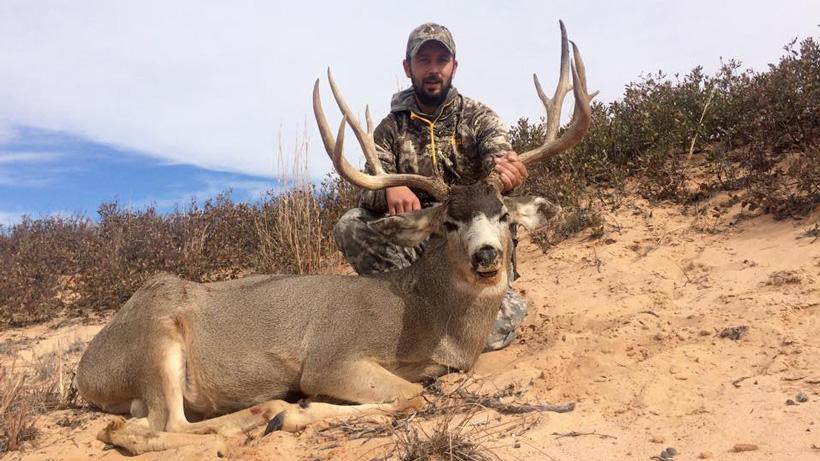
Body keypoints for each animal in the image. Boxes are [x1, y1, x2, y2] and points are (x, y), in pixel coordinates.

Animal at [74, 21, 593, 455]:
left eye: (504, 216)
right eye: (448, 221)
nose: (486, 255)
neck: (428, 317)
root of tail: (86, 370)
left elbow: (414, 392)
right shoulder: (332, 356)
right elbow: (412, 396)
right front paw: (297, 412)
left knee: (133, 425)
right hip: (156, 338)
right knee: (159, 425)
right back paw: (258, 417)